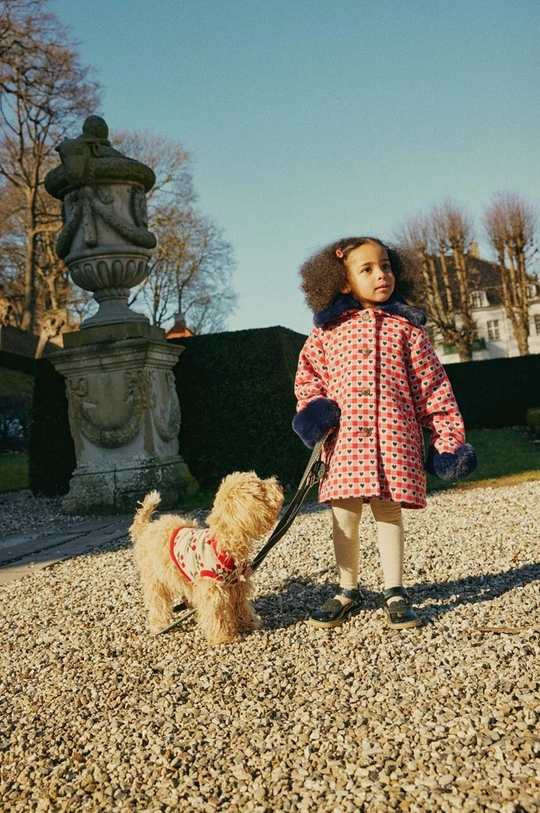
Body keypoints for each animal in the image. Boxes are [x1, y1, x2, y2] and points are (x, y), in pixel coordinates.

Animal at [130, 472, 282, 644]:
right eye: (261, 488)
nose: (279, 482)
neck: (224, 545)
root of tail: (146, 527)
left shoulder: (236, 585)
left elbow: (240, 606)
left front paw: (247, 624)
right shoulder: (210, 589)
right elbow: (214, 615)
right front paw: (221, 637)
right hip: (155, 579)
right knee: (158, 603)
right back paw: (159, 624)